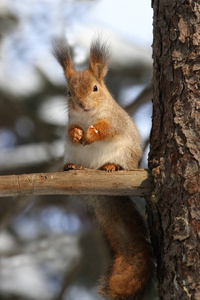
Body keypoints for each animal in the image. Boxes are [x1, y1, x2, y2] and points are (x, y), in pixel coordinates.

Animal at [52, 38, 154, 298]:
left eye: (96, 88)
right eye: (69, 92)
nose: (83, 105)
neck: (88, 118)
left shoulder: (115, 121)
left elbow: (106, 129)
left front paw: (92, 134)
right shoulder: (72, 122)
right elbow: (70, 130)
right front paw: (76, 134)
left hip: (126, 156)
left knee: (119, 163)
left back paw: (111, 166)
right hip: (73, 154)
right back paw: (70, 166)